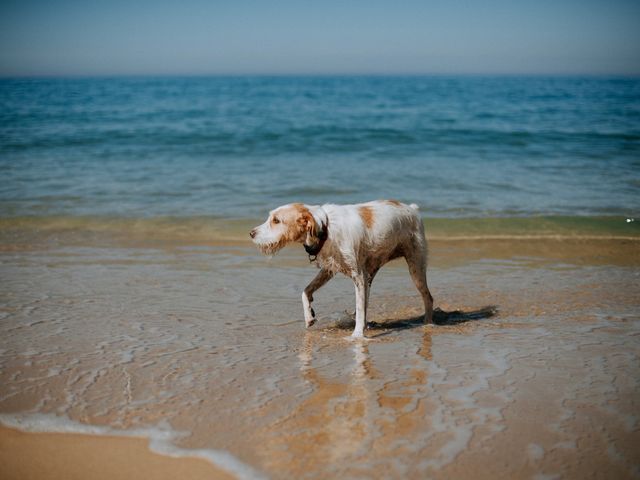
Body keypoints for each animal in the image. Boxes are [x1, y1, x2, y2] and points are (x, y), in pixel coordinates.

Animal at [250, 199, 436, 338]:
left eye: (276, 220)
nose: (251, 233)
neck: (326, 229)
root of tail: (412, 209)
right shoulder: (329, 270)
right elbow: (305, 291)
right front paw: (309, 315)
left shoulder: (358, 275)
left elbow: (359, 309)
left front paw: (357, 336)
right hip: (370, 274)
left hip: (415, 267)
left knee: (428, 297)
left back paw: (428, 324)